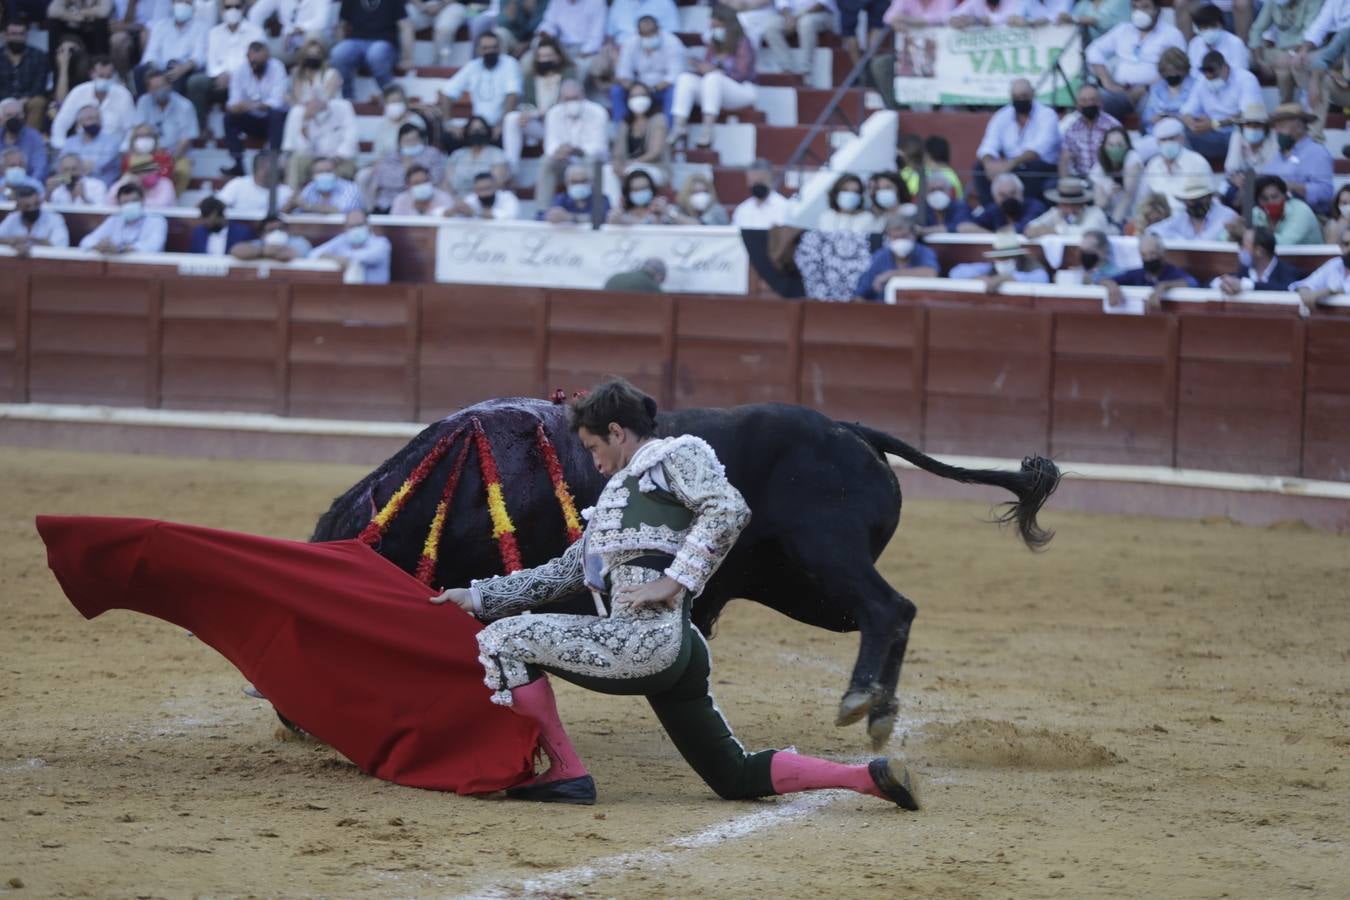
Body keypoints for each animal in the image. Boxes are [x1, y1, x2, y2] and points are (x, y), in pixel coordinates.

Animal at [310, 396, 1058, 750]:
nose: (299, 721)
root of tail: (851, 430)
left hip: (825, 557)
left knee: (888, 609)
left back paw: (861, 703)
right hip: (802, 586)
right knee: (895, 613)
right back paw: (878, 710)